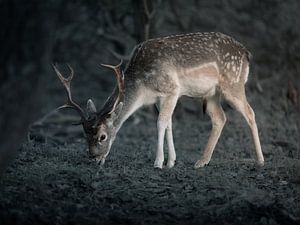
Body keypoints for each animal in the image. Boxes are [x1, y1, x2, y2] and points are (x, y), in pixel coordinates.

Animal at [53, 32, 264, 169]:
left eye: (102, 136)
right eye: (84, 134)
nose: (94, 157)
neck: (143, 87)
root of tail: (246, 53)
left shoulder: (172, 89)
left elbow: (161, 123)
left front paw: (158, 163)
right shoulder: (159, 98)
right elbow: (169, 124)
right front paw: (171, 161)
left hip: (233, 84)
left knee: (250, 112)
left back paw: (260, 160)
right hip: (211, 93)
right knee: (220, 118)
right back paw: (201, 161)